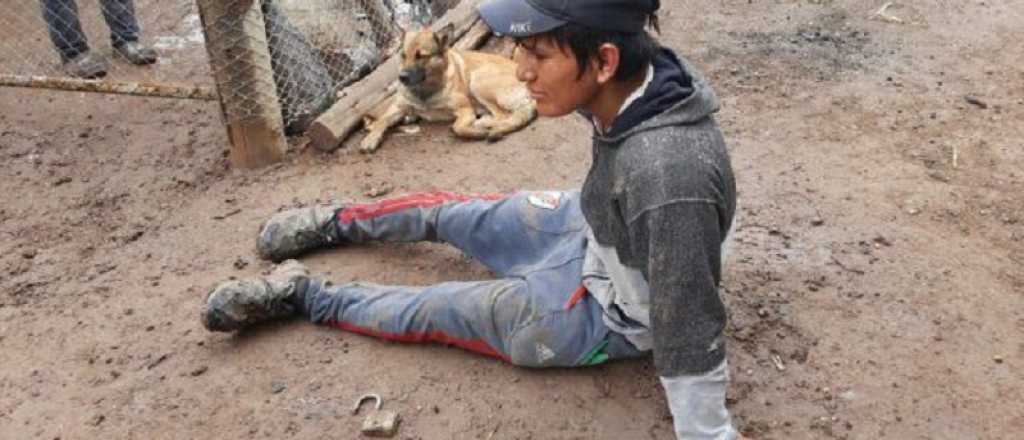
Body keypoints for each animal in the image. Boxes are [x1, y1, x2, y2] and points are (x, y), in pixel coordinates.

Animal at [360, 25, 536, 153]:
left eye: (421, 56)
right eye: (403, 55)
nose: (401, 77)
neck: (425, 90)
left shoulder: (465, 110)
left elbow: (457, 127)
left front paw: (476, 132)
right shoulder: (398, 107)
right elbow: (382, 120)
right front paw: (370, 138)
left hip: (478, 80)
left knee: (503, 116)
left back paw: (484, 124)